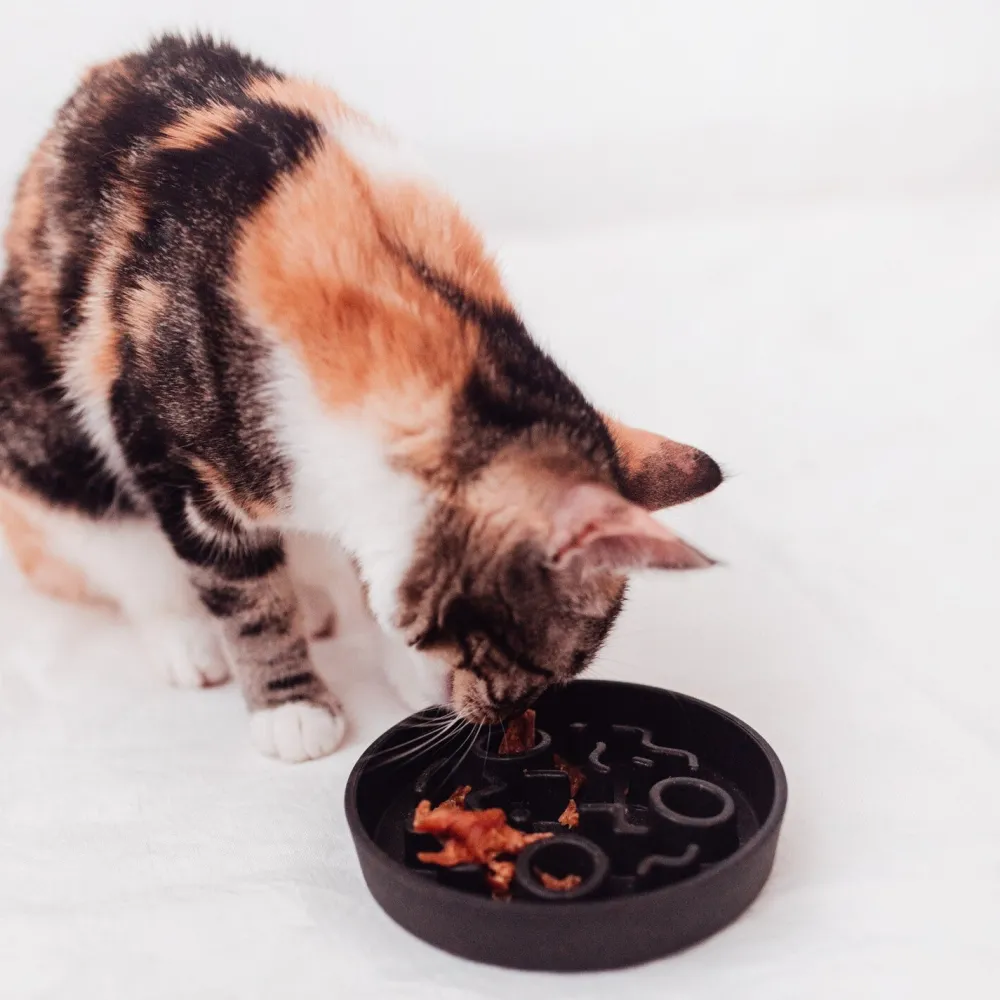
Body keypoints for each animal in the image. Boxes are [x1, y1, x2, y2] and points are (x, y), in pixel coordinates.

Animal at [0, 35, 722, 762]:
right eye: (534, 669)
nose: (505, 715)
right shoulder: (177, 465)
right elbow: (246, 600)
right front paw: (292, 708)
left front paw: (402, 668)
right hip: (54, 458)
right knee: (131, 563)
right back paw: (191, 639)